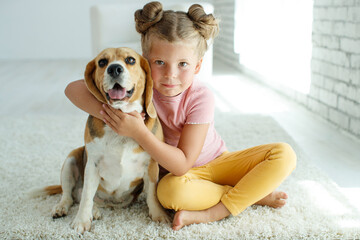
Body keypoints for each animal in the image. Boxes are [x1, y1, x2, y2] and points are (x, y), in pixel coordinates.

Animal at [33, 47, 169, 232]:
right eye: (102, 62)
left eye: (130, 60)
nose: (114, 69)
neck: (122, 114)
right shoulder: (93, 165)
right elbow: (86, 196)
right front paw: (81, 221)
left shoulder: (152, 165)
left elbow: (152, 195)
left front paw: (159, 216)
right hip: (71, 160)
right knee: (71, 195)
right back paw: (67, 208)